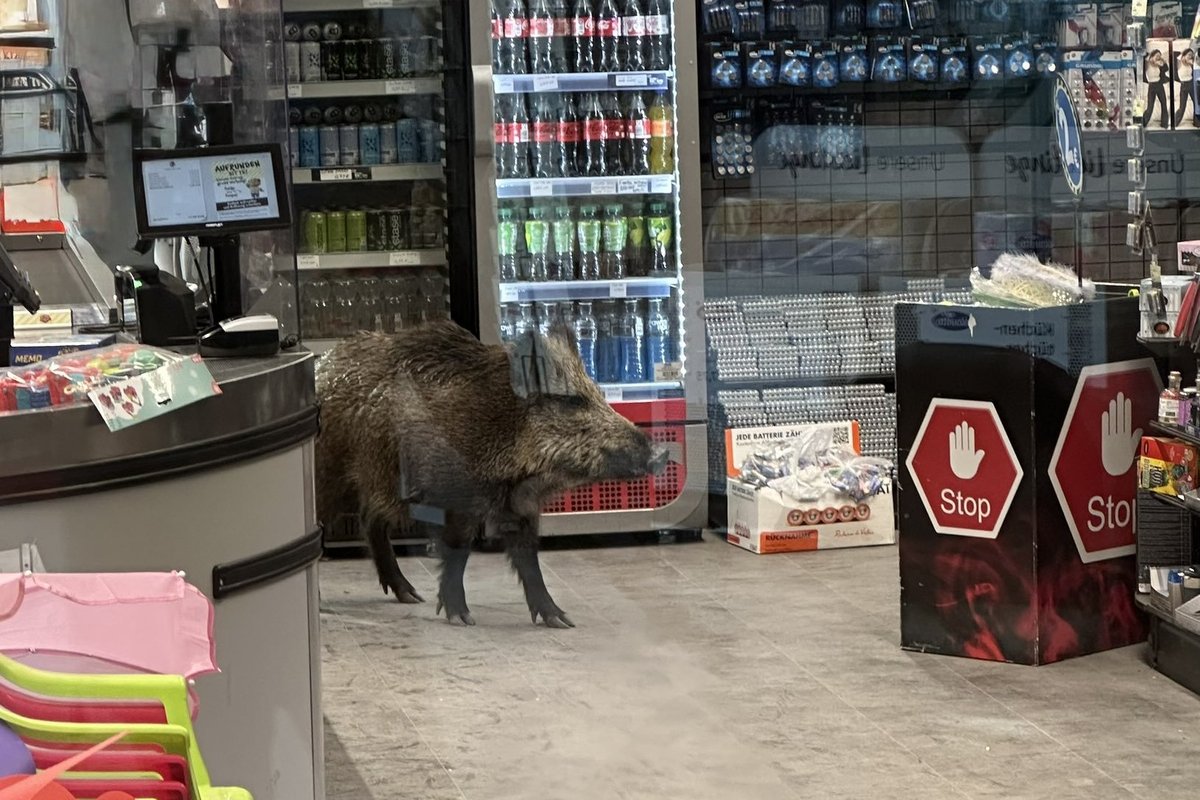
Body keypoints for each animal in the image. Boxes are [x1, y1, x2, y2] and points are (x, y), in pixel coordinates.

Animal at [315, 320, 666, 629]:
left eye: (600, 395)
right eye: (572, 401)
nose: (662, 452)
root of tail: (321, 367)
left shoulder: (520, 508)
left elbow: (529, 560)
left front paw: (561, 621)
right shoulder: (455, 499)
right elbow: (459, 552)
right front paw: (461, 618)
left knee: (370, 521)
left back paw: (411, 595)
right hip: (331, 479)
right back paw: (321, 603)